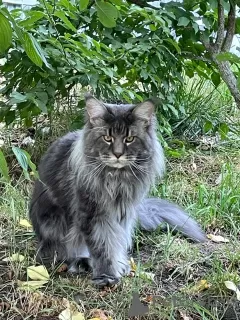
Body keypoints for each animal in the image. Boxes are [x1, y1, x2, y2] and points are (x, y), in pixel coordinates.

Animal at [28, 93, 206, 288]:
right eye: (107, 138)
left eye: (130, 139)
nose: (118, 154)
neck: (117, 180)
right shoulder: (93, 214)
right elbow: (104, 246)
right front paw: (107, 276)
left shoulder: (124, 213)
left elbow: (117, 242)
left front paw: (120, 265)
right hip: (56, 227)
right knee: (58, 254)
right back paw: (80, 262)